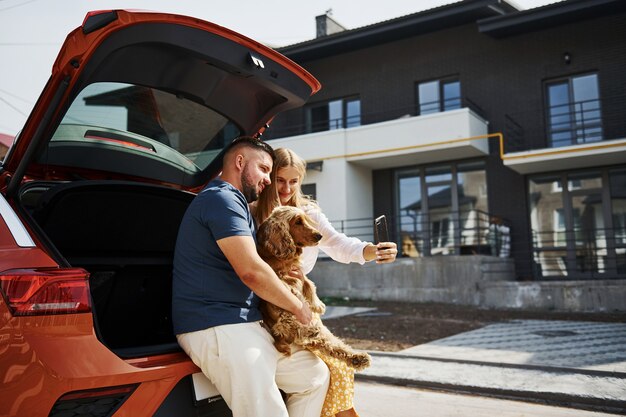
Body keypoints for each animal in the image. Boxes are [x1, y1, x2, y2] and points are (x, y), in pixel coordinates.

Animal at [255, 204, 368, 368]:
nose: (320, 236)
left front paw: (317, 305)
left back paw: (358, 357)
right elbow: (291, 291)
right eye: (298, 222)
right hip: (282, 318)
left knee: (333, 344)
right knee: (286, 322)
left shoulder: (298, 273)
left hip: (321, 335)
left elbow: (309, 284)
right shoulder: (274, 277)